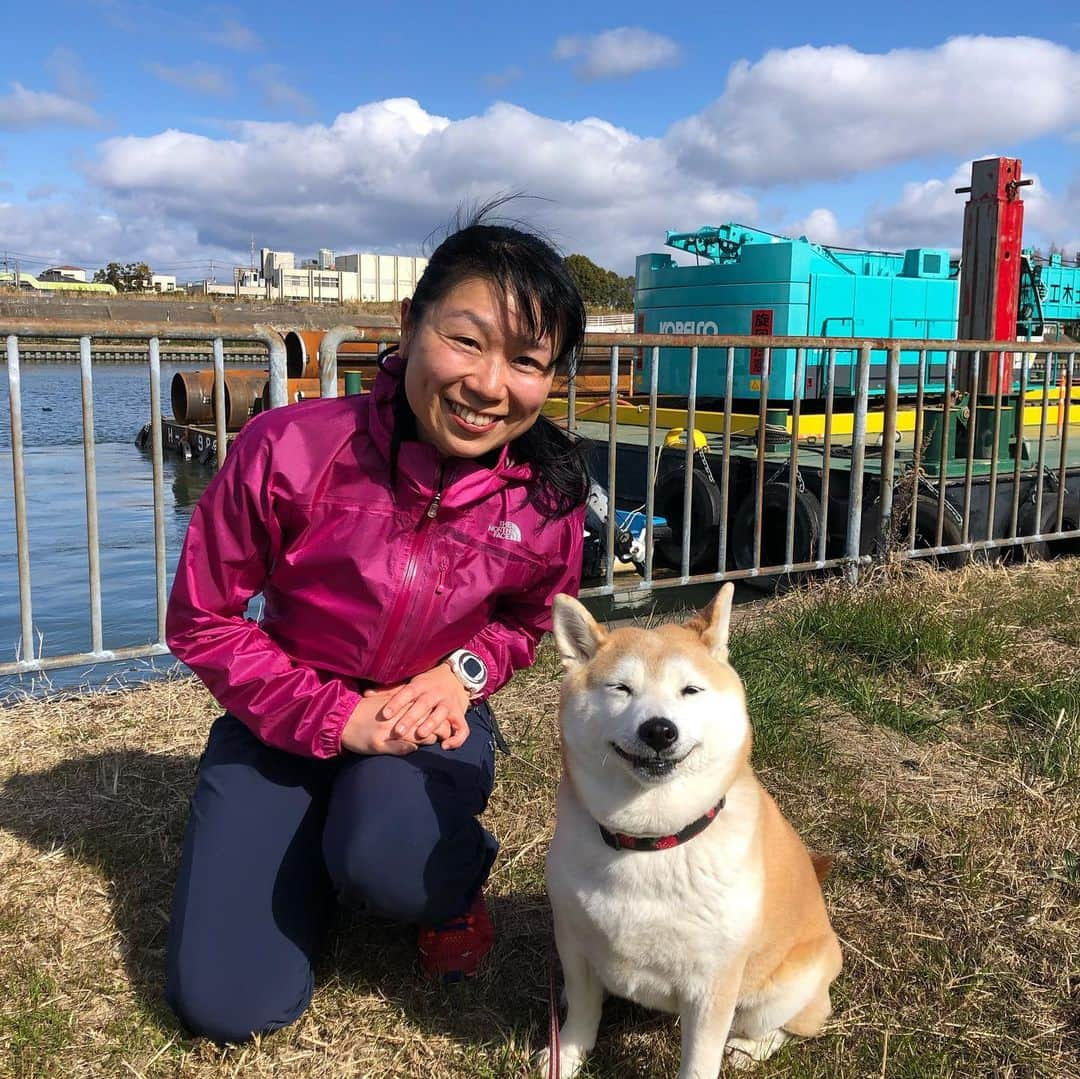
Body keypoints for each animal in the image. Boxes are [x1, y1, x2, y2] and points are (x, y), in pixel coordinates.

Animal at [544, 587, 838, 1075]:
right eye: (620, 688)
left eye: (690, 690)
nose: (659, 730)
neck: (650, 842)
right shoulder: (572, 938)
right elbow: (584, 1012)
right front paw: (564, 1056)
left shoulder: (712, 982)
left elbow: (701, 1058)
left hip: (789, 985)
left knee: (794, 1024)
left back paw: (749, 1048)